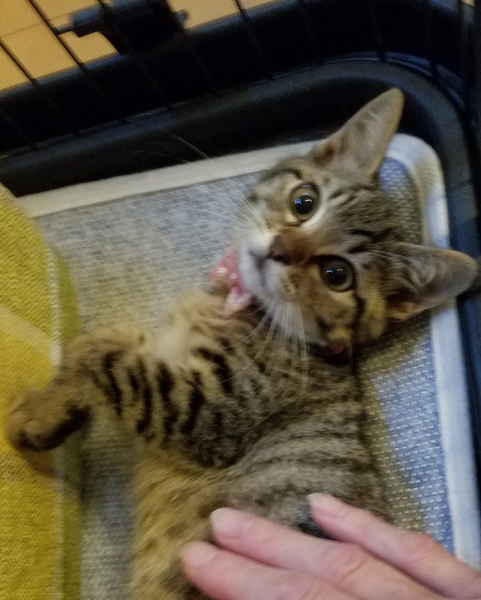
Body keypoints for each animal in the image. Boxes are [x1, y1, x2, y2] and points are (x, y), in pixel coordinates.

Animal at [5, 88, 478, 600]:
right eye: (304, 202)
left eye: (336, 274)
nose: (278, 250)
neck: (240, 305)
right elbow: (112, 340)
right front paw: (57, 406)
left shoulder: (206, 410)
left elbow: (106, 359)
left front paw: (37, 411)